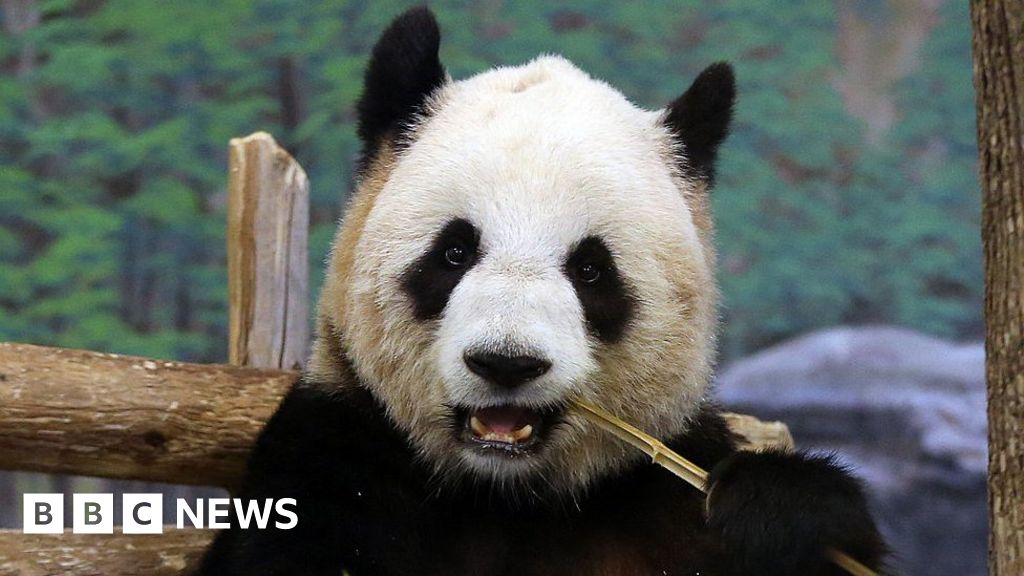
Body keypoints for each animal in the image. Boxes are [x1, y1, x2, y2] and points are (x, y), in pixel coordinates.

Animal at [195, 5, 884, 573]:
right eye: (454, 251)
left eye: (591, 269)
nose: (506, 363)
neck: (506, 495)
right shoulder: (332, 469)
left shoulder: (666, 497)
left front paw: (778, 507)